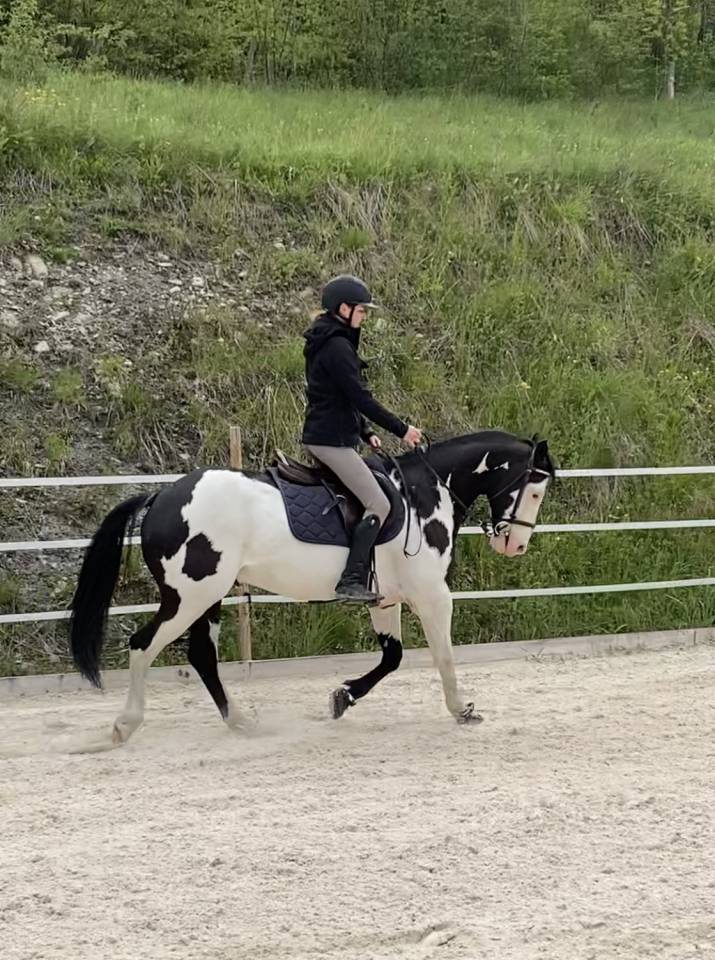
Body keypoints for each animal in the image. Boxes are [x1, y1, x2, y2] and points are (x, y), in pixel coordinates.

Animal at [69, 430, 555, 746]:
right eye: (535, 491)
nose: (515, 545)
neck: (423, 493)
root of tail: (161, 498)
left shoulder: (385, 598)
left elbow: (393, 657)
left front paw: (343, 697)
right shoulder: (432, 595)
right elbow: (444, 657)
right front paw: (462, 710)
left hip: (208, 598)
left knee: (202, 656)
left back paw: (241, 722)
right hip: (190, 597)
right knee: (143, 645)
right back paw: (125, 725)